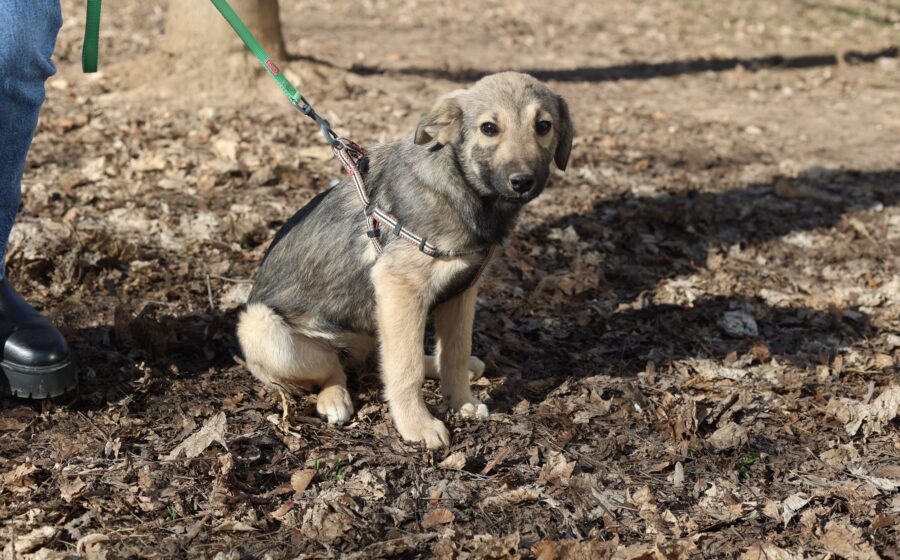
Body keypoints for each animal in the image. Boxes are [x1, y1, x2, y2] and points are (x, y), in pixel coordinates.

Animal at [237, 72, 573, 448]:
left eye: (543, 125)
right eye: (489, 128)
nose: (523, 182)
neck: (461, 188)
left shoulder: (462, 291)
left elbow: (454, 352)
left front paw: (462, 402)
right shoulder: (400, 289)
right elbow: (405, 367)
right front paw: (417, 424)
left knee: (380, 358)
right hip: (260, 326)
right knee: (335, 368)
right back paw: (335, 398)